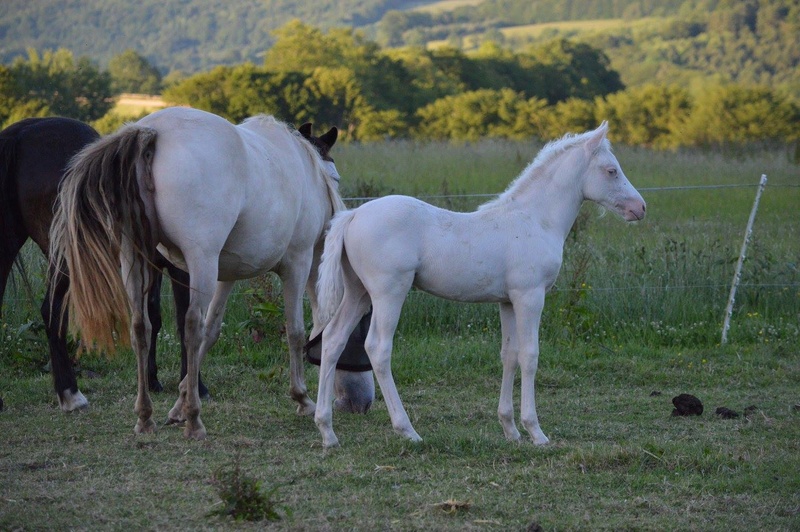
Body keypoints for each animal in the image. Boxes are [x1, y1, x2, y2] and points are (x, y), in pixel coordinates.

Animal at [0, 117, 206, 412]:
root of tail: (23, 133)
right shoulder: (181, 267)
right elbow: (183, 320)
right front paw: (194, 386)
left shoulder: (151, 268)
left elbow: (152, 317)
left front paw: (152, 380)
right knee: (52, 311)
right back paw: (70, 393)